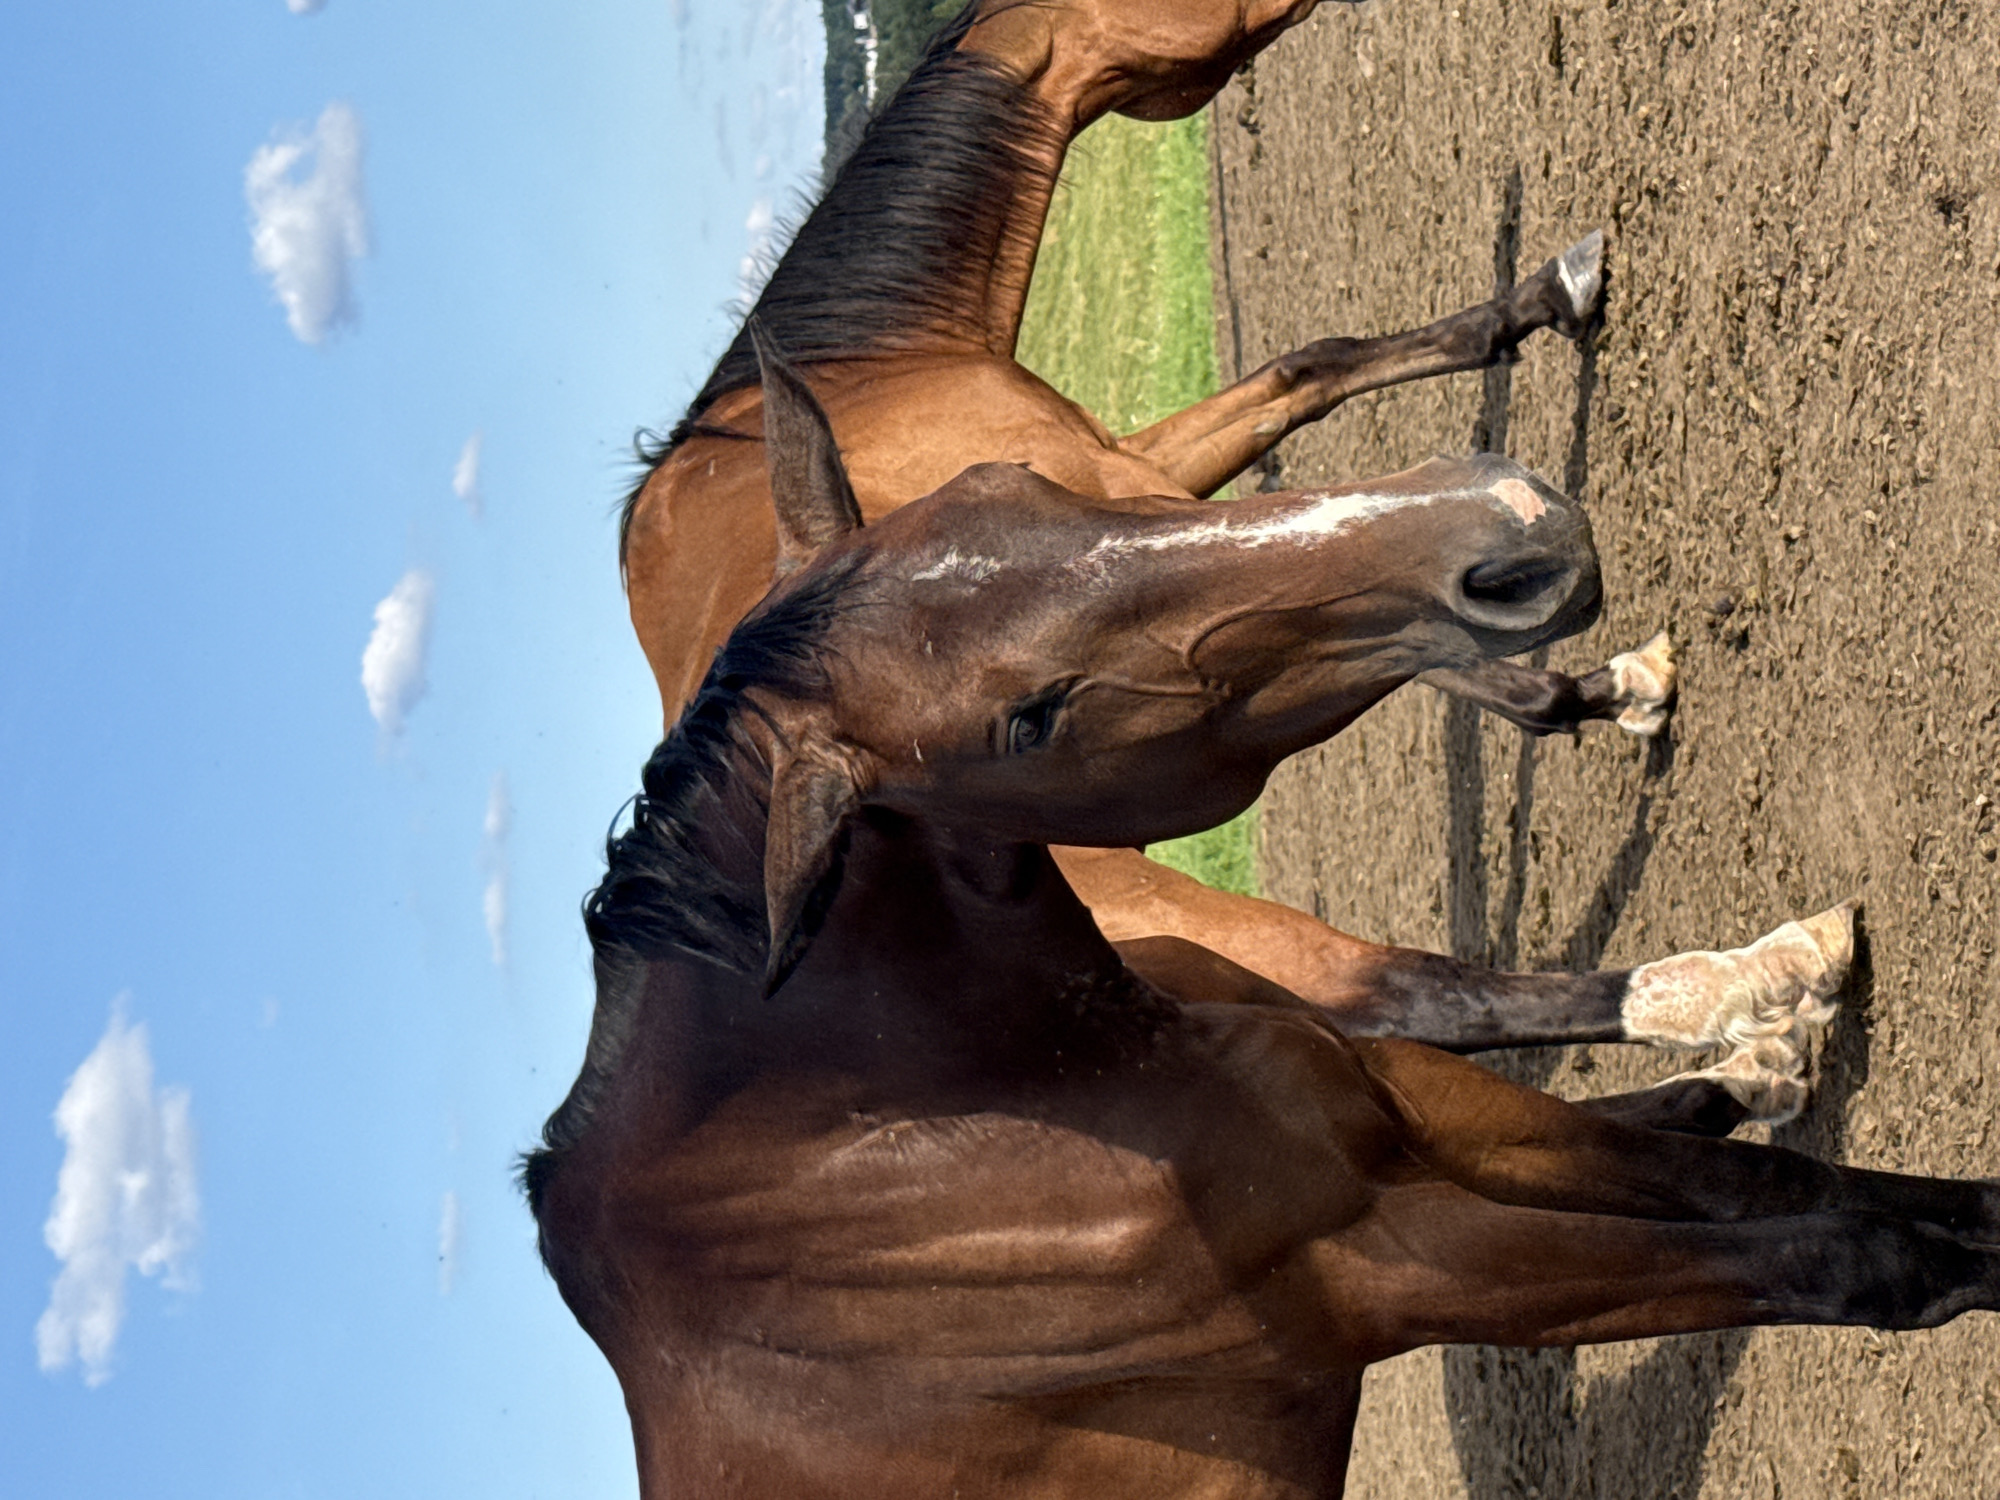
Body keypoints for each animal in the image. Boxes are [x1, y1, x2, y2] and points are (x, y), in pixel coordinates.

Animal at [525, 341, 2000, 1499]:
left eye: (1013, 484)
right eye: (1024, 720)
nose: (1506, 525)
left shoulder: (1415, 1128)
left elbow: (1772, 1186)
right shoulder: (1394, 1268)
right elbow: (1850, 1255)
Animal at [616, 0, 1845, 1107]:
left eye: (1008, 486)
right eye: (1027, 721)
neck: (881, 362)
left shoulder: (1112, 475)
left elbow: (1307, 373)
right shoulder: (1143, 500)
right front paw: (1596, 679)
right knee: (1416, 992)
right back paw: (1752, 996)